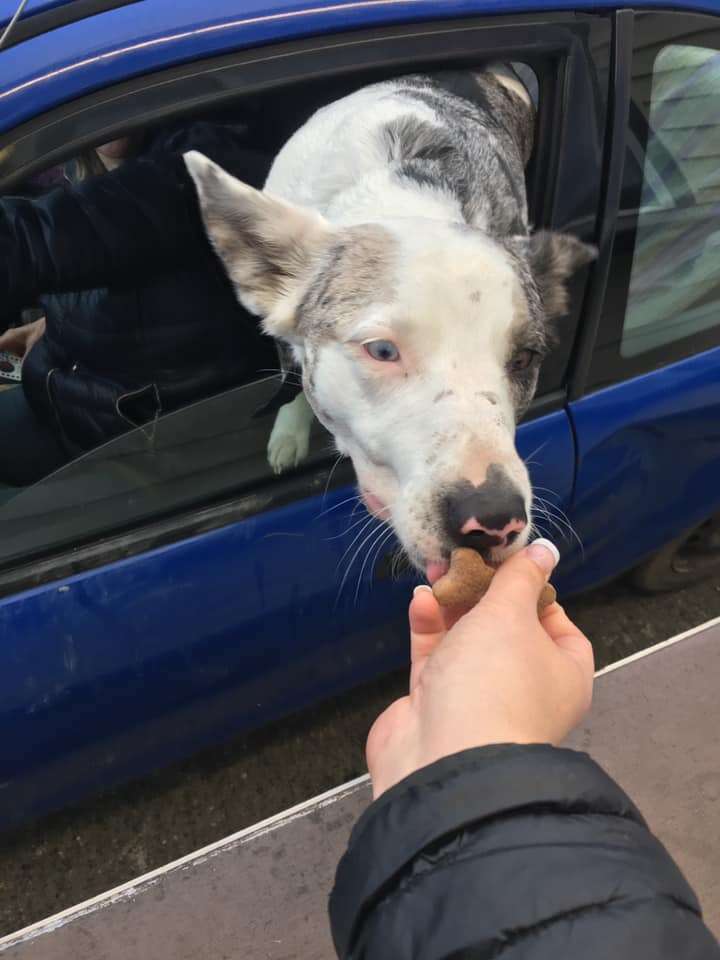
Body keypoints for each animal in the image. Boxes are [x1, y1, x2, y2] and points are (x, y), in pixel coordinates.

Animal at [186, 67, 596, 584]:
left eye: (524, 358)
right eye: (382, 351)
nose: (493, 519)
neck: (399, 198)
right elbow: (290, 372)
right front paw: (289, 432)